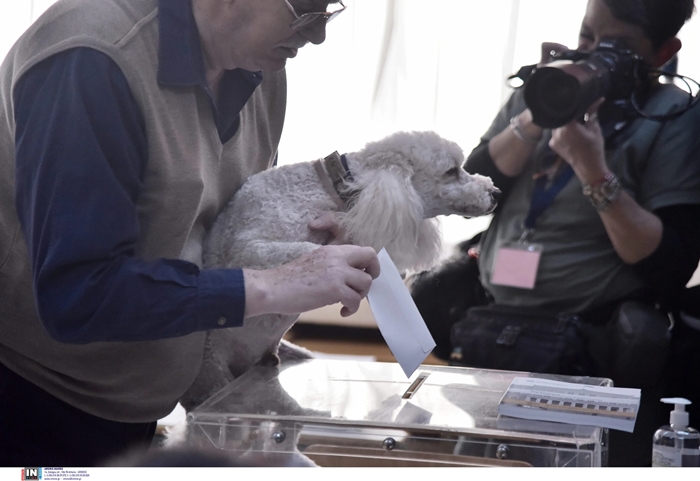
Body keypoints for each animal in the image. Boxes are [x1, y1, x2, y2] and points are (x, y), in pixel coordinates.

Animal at [179, 130, 500, 412]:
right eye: (451, 171)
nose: (495, 192)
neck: (330, 189)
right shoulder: (247, 249)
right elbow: (308, 252)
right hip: (213, 374)